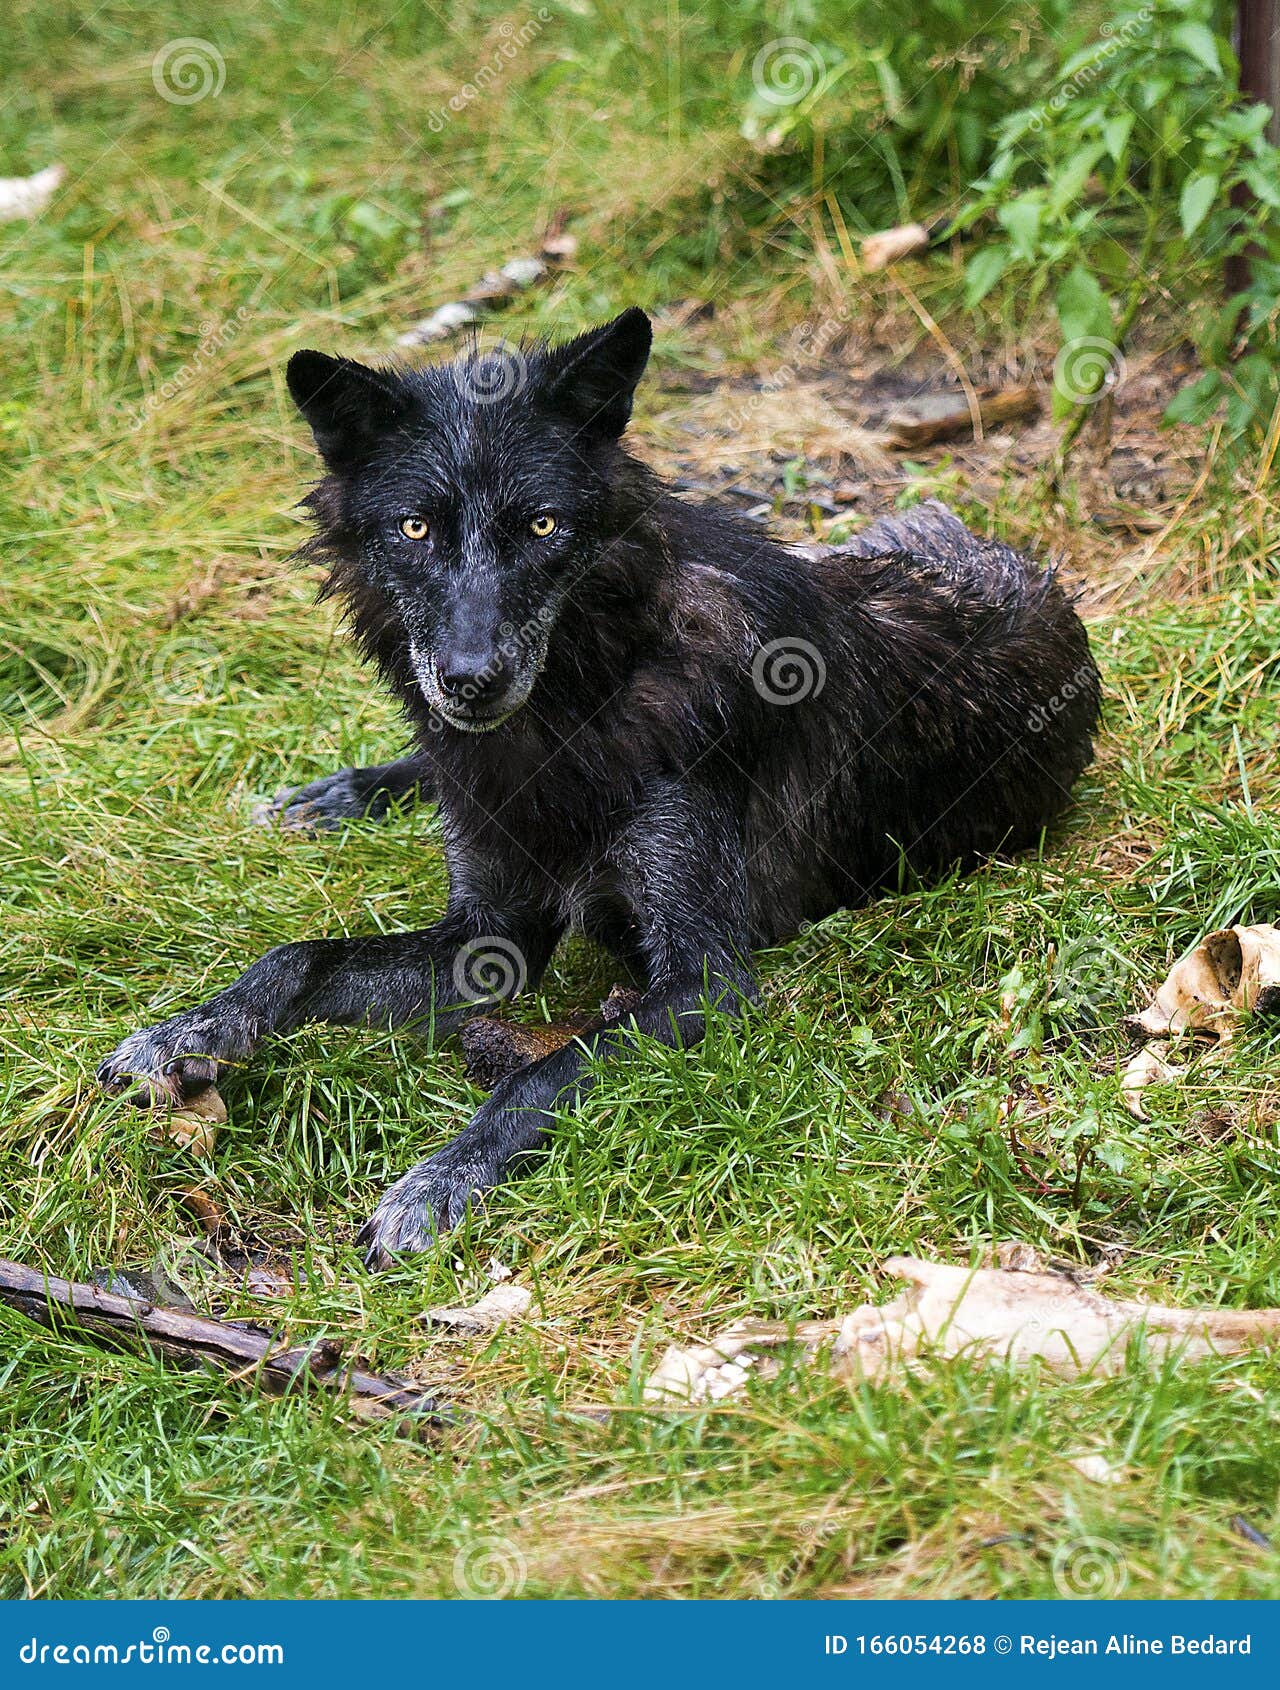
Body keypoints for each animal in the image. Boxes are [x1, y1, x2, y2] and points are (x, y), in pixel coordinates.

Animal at [99, 310, 1095, 1264]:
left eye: (543, 527)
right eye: (415, 528)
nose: (469, 680)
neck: (571, 714)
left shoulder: (706, 984)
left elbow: (541, 1069)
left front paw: (436, 1185)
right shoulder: (491, 927)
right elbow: (300, 957)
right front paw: (188, 1032)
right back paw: (338, 795)